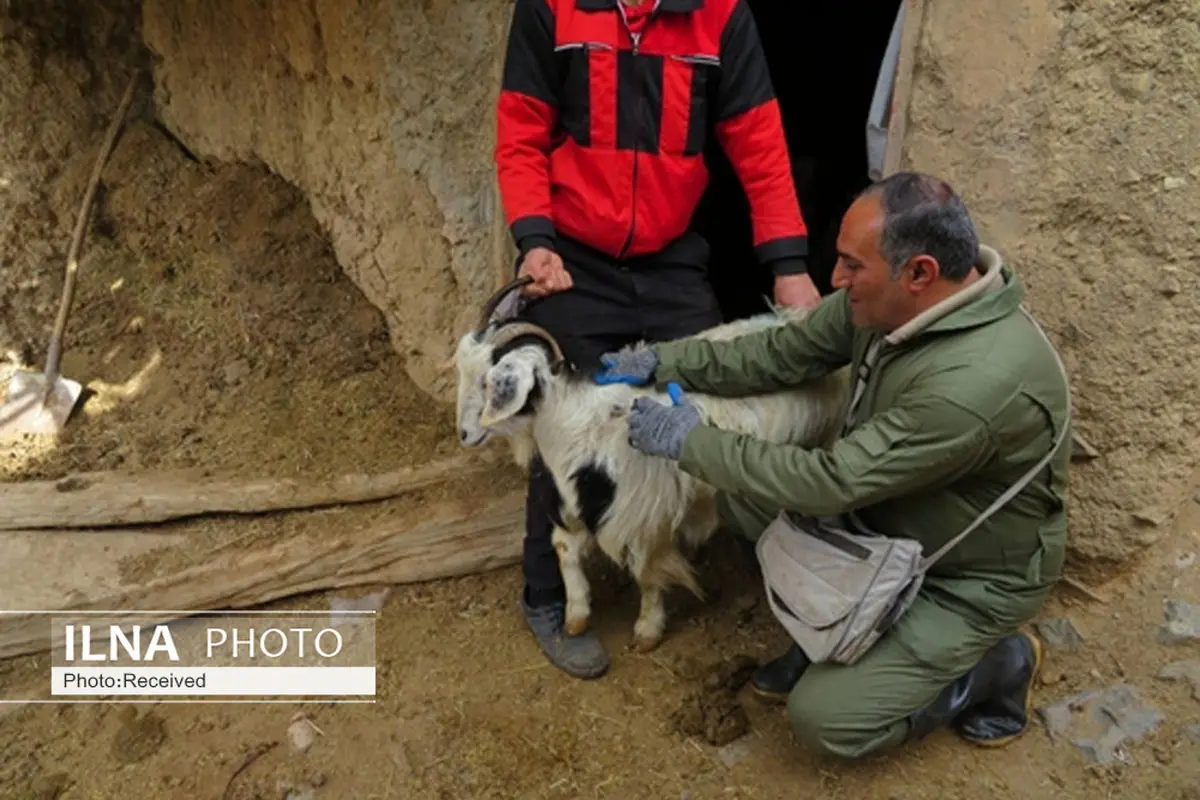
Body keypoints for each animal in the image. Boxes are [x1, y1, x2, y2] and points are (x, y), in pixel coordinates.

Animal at [451, 275, 854, 652]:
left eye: (489, 382)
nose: (464, 435)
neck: (583, 424)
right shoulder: (581, 500)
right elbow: (563, 547)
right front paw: (577, 615)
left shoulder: (645, 513)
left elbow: (647, 574)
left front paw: (648, 629)